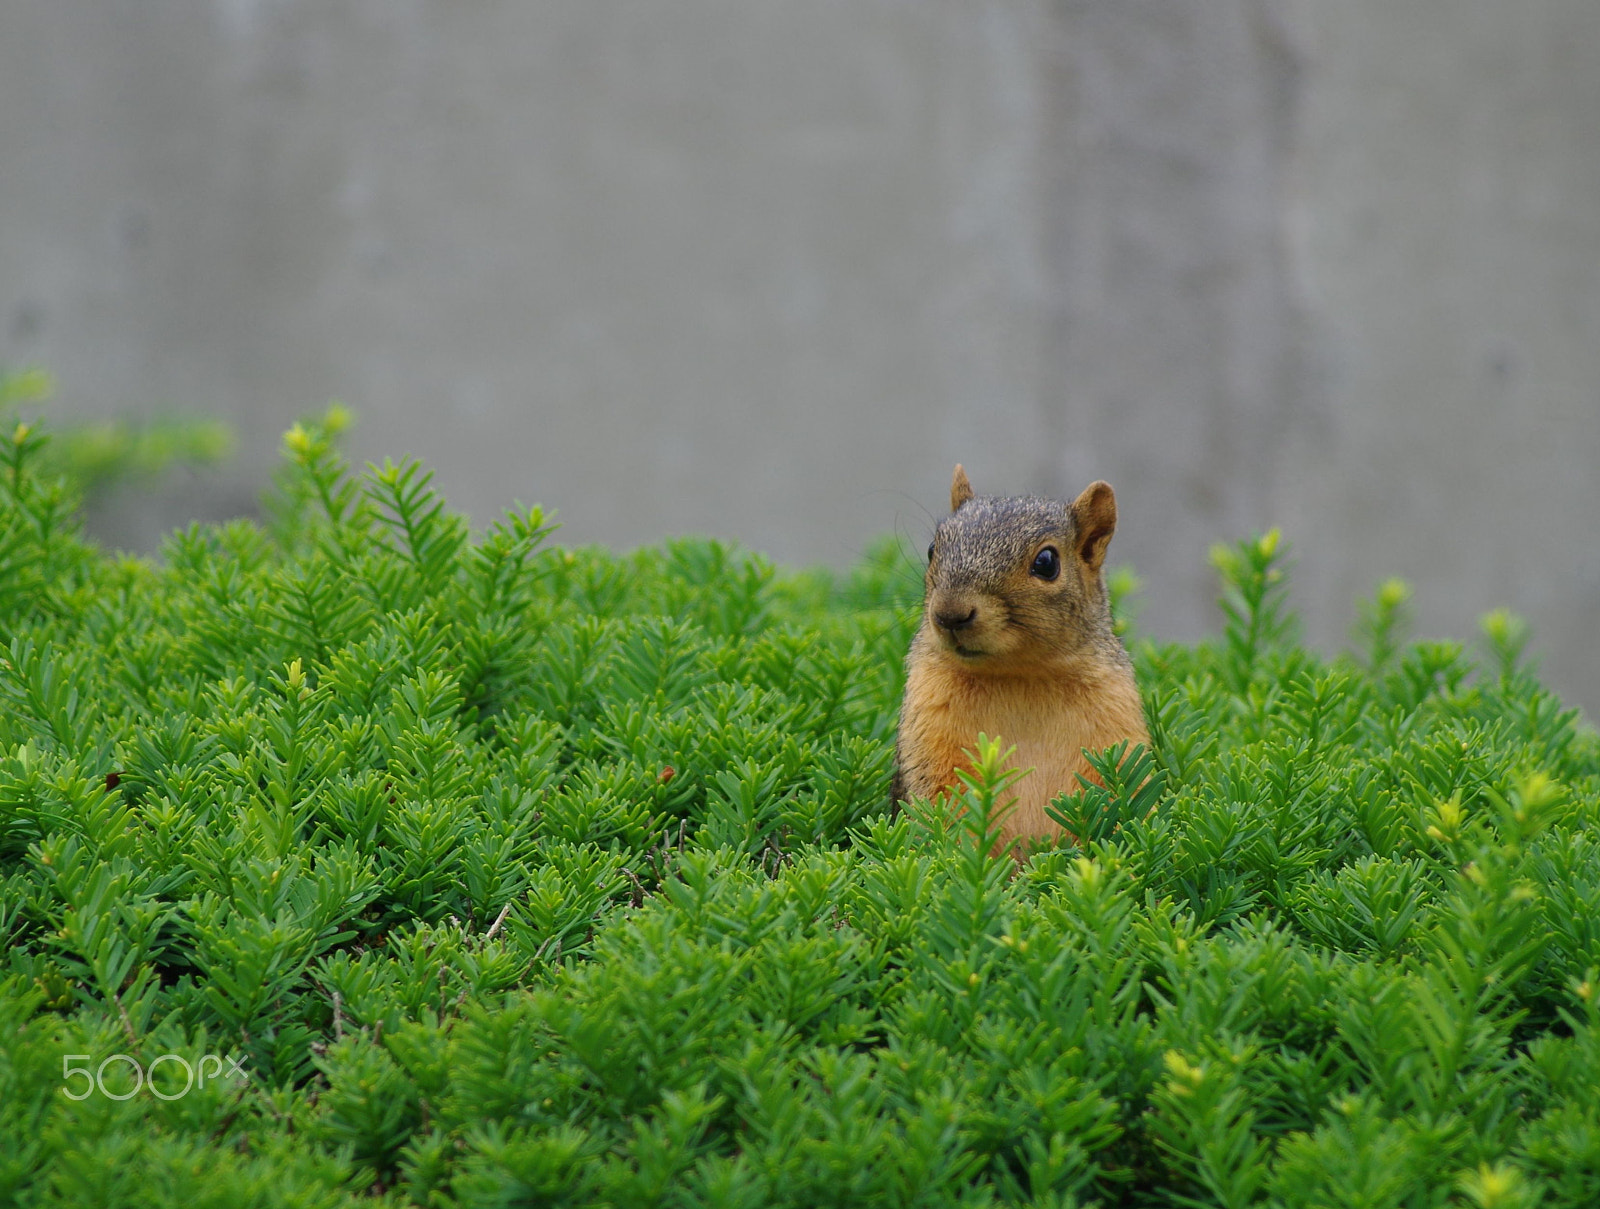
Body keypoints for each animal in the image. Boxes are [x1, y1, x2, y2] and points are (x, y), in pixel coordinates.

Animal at [889, 463, 1152, 850]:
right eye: (933, 548)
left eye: (1046, 562)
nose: (950, 614)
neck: (1020, 675)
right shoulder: (930, 731)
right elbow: (943, 800)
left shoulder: (1115, 721)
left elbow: (1124, 789)